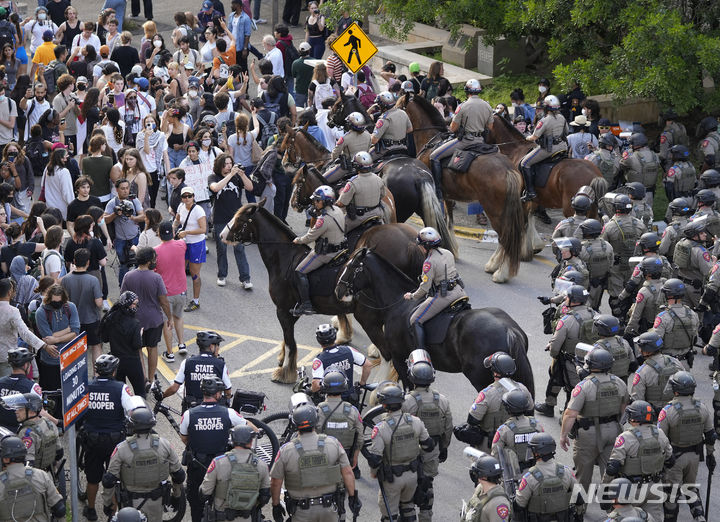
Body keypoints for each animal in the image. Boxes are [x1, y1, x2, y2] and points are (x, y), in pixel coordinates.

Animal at [228, 199, 424, 382]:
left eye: (239, 219)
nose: (224, 234)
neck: (286, 258)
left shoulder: (283, 309)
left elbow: (290, 341)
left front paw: (284, 372)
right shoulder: (290, 311)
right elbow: (287, 338)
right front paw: (282, 359)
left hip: (369, 322)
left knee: (387, 355)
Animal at [396, 92, 524, 280]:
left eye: (398, 106)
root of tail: (508, 169)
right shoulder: (448, 196)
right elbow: (449, 222)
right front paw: (452, 249)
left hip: (494, 209)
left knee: (505, 237)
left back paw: (500, 272)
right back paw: (495, 266)